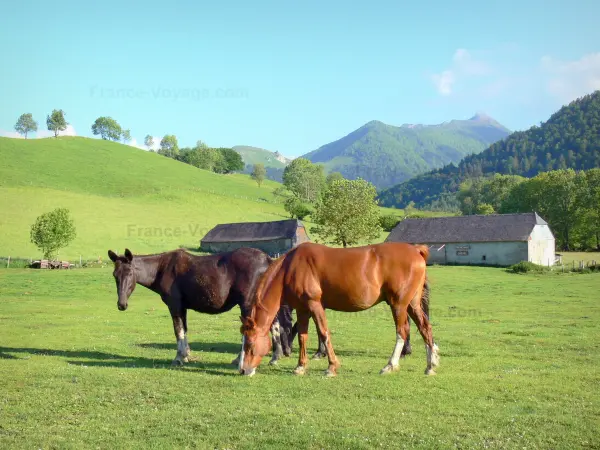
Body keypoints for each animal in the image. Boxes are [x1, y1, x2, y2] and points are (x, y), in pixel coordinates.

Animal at [109, 248, 292, 368]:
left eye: (130, 273)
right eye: (115, 275)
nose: (121, 304)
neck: (162, 268)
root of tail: (268, 259)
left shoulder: (175, 306)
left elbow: (178, 331)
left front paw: (179, 357)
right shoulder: (182, 307)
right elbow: (184, 330)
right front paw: (186, 355)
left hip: (248, 304)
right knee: (274, 325)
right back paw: (274, 357)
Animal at [239, 243, 440, 376]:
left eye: (250, 344)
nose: (243, 370)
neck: (291, 267)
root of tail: (416, 250)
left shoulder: (315, 305)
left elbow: (324, 333)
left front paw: (331, 366)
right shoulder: (303, 309)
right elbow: (303, 337)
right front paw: (300, 366)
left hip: (399, 305)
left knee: (402, 332)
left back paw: (390, 365)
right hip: (412, 305)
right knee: (425, 328)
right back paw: (430, 365)